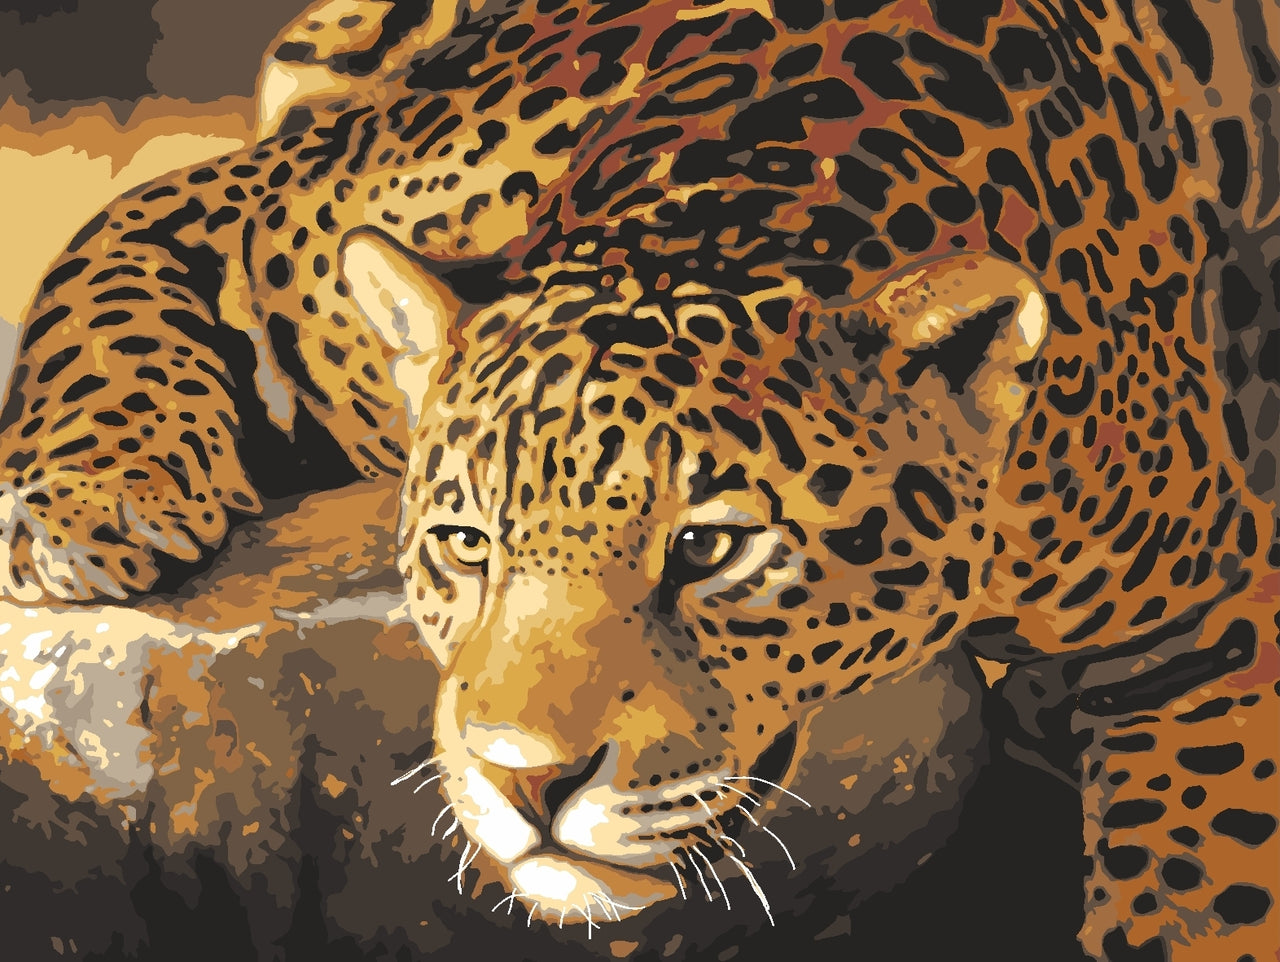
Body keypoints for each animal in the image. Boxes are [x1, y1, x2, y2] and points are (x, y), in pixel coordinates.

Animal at [0, 1, 1276, 959]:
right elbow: (111, 301)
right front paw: (85, 503)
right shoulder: (242, 213)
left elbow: (1203, 876)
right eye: (466, 543)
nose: (525, 782)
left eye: (707, 548)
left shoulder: (1202, 622)